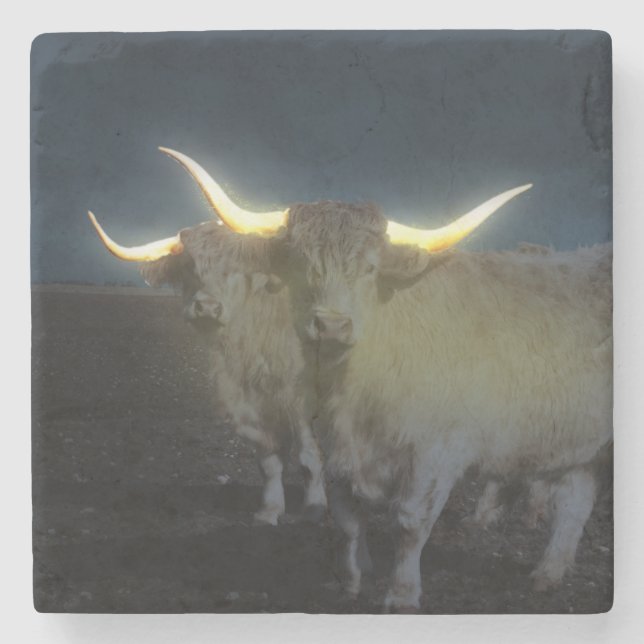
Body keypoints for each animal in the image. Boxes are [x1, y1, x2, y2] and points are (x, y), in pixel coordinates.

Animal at [88, 148, 327, 526]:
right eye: (189, 267)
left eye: (237, 270)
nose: (207, 308)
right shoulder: (242, 397)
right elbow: (269, 455)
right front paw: (270, 510)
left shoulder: (299, 393)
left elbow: (307, 453)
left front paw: (315, 508)